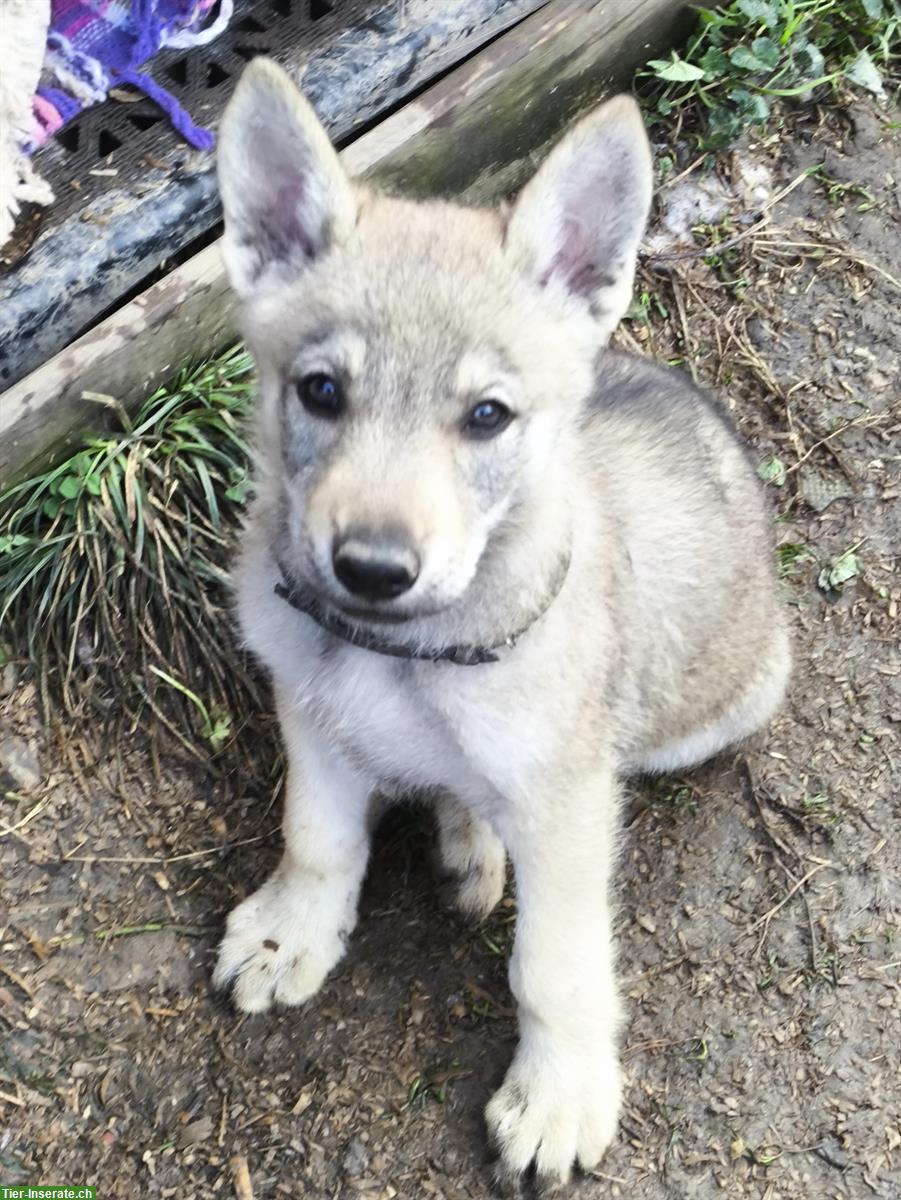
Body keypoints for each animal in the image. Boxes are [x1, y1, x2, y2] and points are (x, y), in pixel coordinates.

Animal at [211, 58, 787, 1190]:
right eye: (320, 391)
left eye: (486, 416)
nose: (373, 568)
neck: (399, 656)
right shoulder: (309, 717)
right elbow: (316, 839)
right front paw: (292, 933)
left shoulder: (565, 802)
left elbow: (554, 965)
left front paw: (558, 1095)